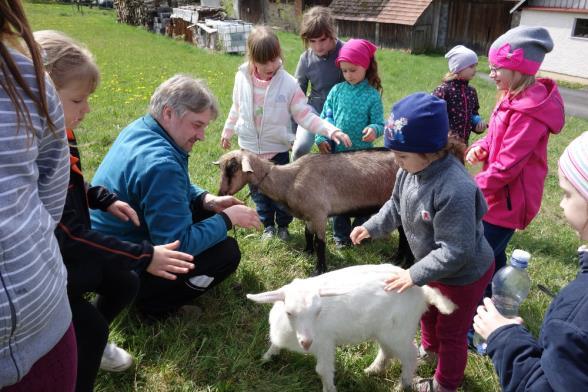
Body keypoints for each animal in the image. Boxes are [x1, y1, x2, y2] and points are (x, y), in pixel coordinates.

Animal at [246, 264, 458, 392]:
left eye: (318, 311)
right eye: (289, 313)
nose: (306, 342)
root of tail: (422, 291)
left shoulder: (325, 344)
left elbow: (322, 370)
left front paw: (329, 389)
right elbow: (274, 346)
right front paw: (265, 358)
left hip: (400, 331)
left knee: (410, 355)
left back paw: (401, 384)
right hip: (384, 331)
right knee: (386, 351)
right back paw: (372, 370)